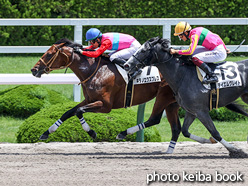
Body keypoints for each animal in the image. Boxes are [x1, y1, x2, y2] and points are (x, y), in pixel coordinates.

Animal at [31, 37, 180, 153]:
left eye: (49, 54)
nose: (34, 70)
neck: (94, 71)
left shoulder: (105, 105)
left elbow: (79, 111)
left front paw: (91, 132)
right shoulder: (89, 99)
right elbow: (68, 112)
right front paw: (46, 133)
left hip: (164, 96)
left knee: (155, 119)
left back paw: (122, 133)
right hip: (172, 102)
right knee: (175, 127)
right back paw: (169, 150)